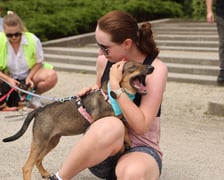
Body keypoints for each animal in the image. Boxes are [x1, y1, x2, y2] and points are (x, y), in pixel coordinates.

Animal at [2, 61, 154, 179]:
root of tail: (39, 109)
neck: (111, 96)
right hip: (40, 141)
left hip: (52, 141)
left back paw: (45, 174)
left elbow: (124, 126)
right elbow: (120, 125)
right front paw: (123, 145)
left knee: (38, 160)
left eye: (141, 63)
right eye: (133, 67)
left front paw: (127, 141)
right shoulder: (99, 120)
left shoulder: (119, 118)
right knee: (27, 166)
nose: (151, 67)